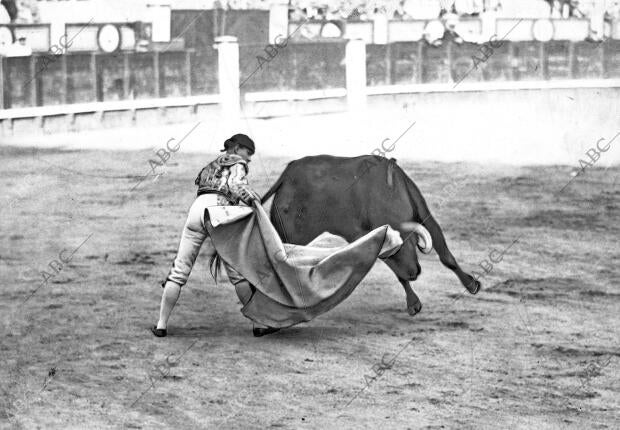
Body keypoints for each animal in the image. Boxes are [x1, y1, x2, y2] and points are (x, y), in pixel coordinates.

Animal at [260, 155, 482, 316]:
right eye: (394, 250)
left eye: (409, 243)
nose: (414, 273)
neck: (382, 196)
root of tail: (286, 175)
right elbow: (398, 273)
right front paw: (413, 303)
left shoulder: (425, 215)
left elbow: (446, 256)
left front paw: (471, 285)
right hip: (289, 236)